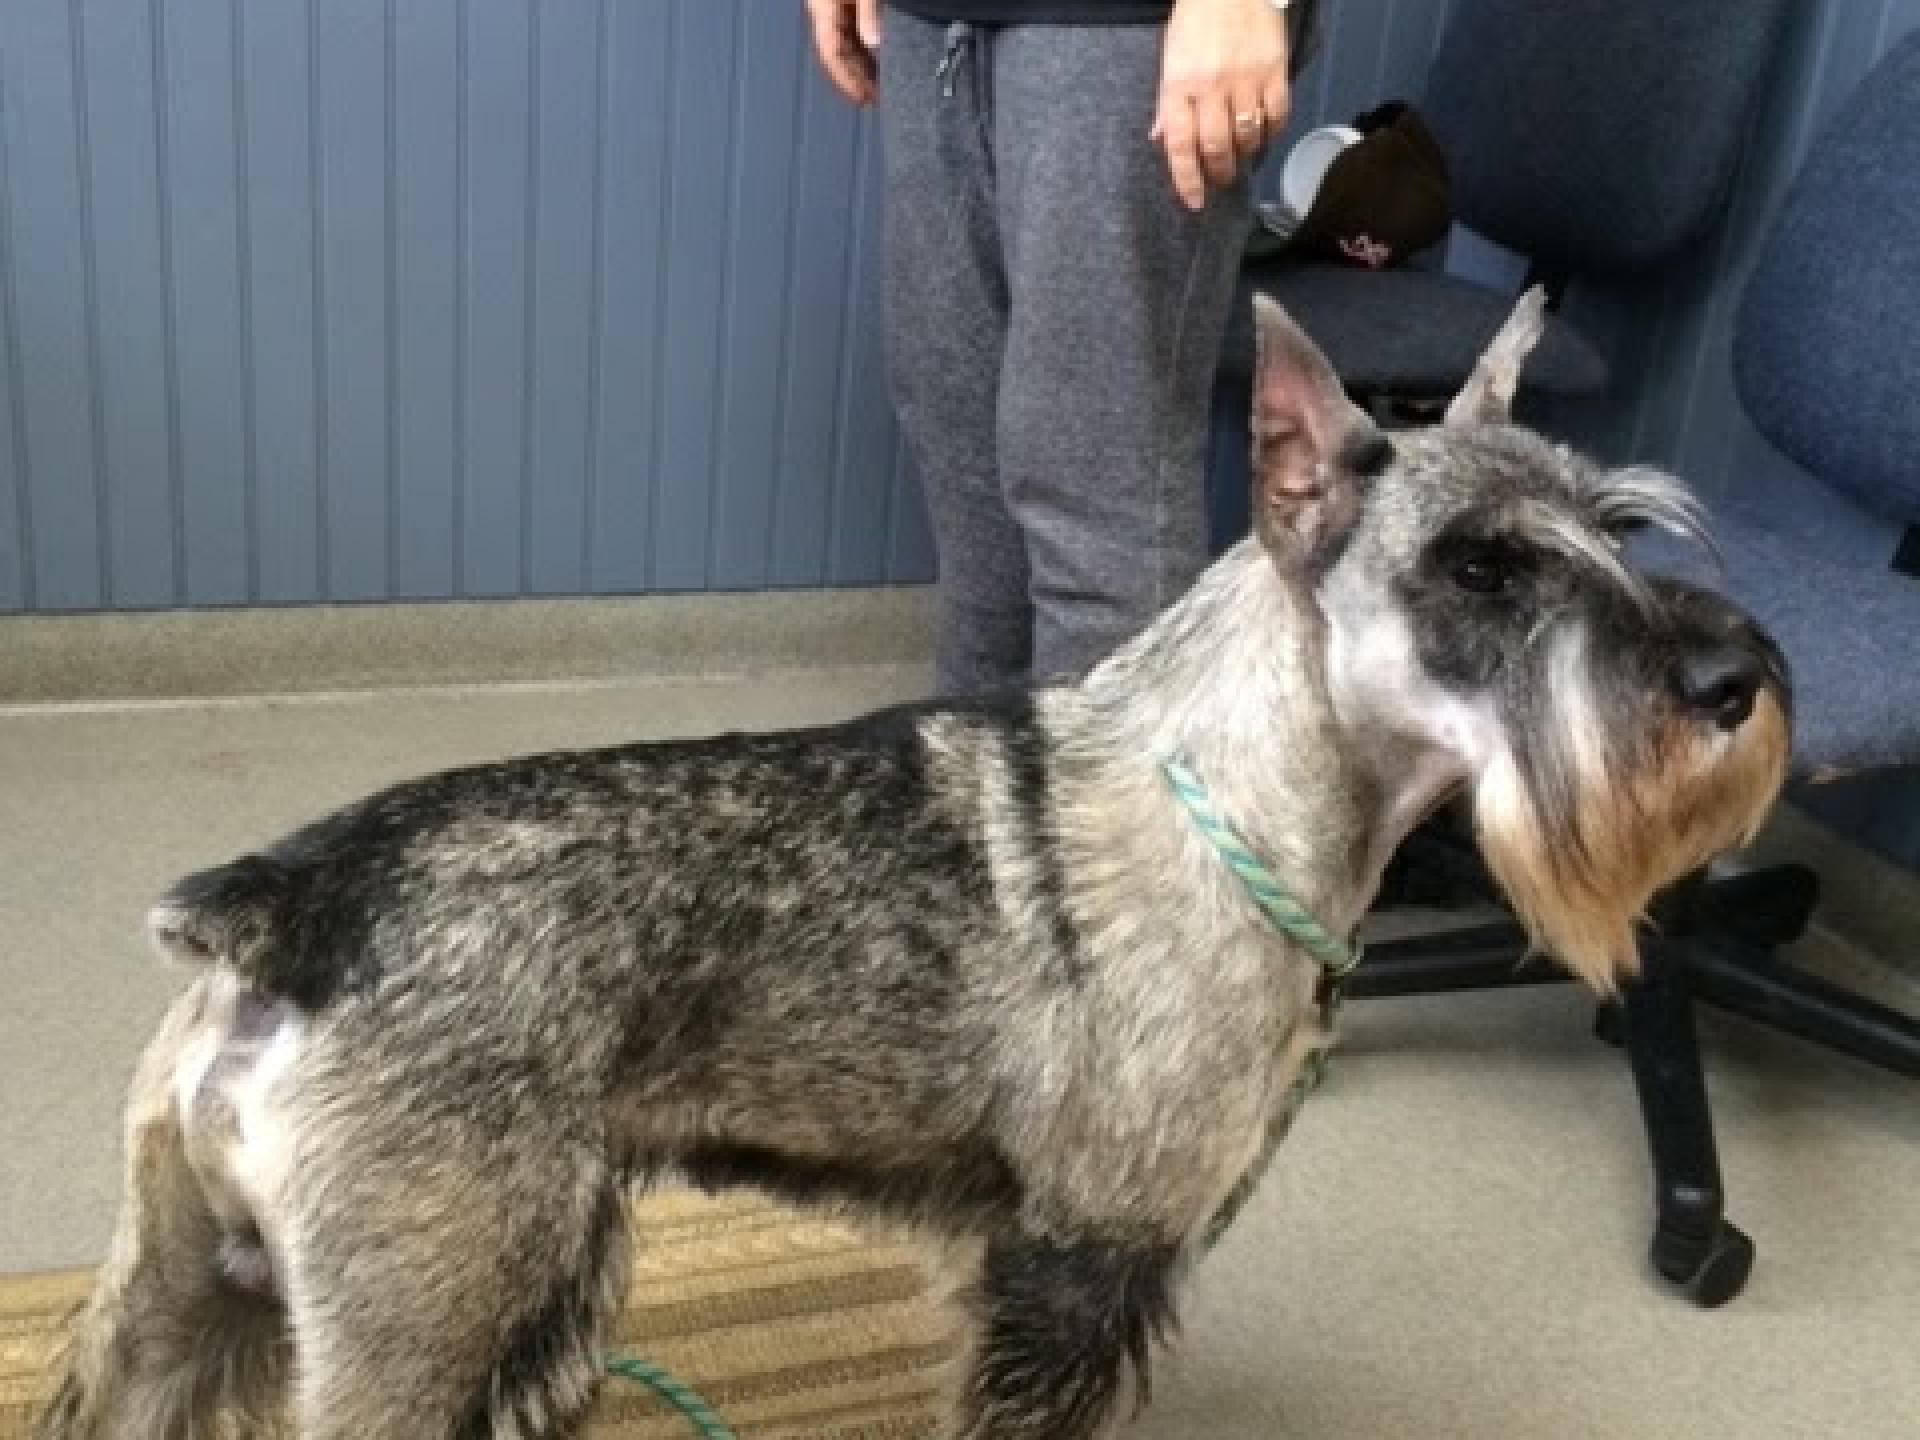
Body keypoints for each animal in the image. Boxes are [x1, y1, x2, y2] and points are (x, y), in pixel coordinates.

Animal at [41, 293, 1781, 1440]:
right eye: (1479, 568)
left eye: (1619, 526)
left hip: (185, 1295)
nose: (1732, 683)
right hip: (429, 1320)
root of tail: (291, 908)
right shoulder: (1079, 1260)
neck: (1231, 795)